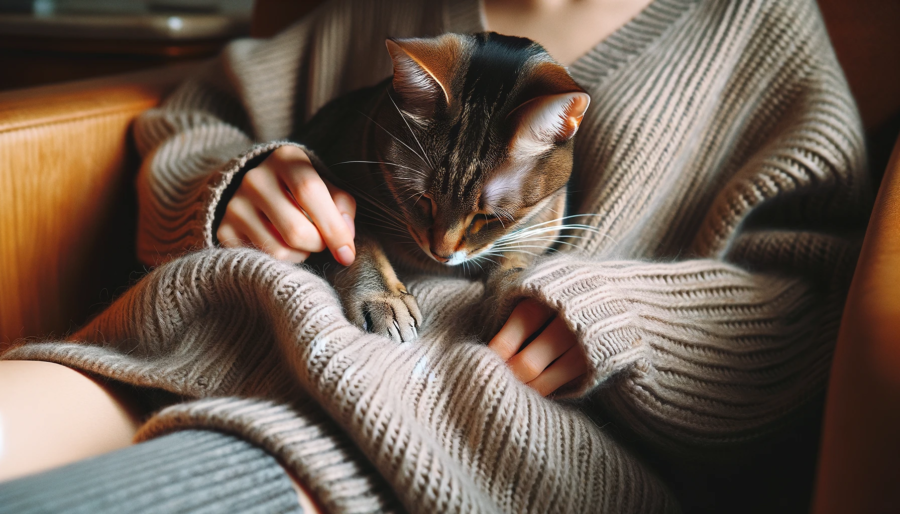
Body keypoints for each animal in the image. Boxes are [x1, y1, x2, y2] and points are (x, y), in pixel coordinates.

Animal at [296, 32, 592, 340]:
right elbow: (357, 242)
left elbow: (517, 258)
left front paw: (507, 300)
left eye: (488, 217)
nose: (441, 254)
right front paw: (383, 297)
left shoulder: (545, 222)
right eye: (423, 199)